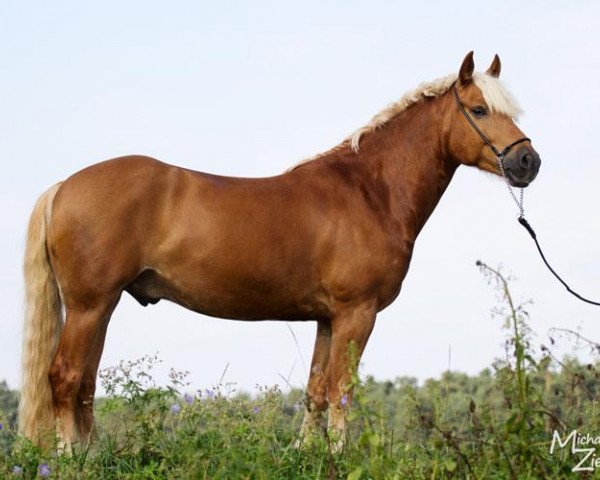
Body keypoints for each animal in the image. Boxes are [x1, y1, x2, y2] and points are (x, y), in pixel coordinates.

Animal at [17, 52, 540, 450]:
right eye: (478, 109)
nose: (527, 161)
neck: (369, 191)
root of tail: (64, 187)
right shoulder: (357, 313)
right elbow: (342, 390)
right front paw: (336, 457)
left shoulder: (327, 318)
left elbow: (316, 391)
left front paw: (305, 453)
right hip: (89, 305)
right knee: (64, 378)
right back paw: (71, 458)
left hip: (100, 307)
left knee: (85, 384)